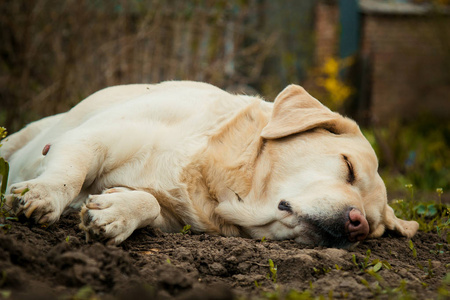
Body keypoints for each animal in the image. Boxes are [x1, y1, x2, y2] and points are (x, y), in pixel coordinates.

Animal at [0, 81, 418, 247]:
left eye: (374, 229)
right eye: (348, 167)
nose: (357, 225)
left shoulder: (173, 216)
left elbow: (147, 203)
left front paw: (115, 214)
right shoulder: (91, 138)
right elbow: (68, 174)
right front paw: (43, 194)